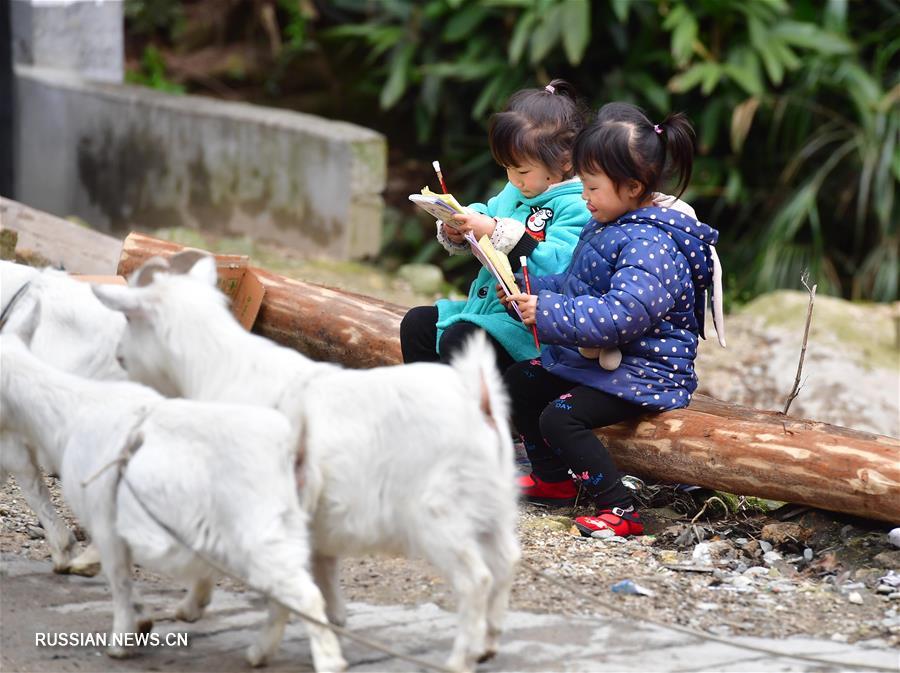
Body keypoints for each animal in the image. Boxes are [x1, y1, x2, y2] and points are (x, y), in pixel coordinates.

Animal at [0, 336, 346, 672]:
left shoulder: (105, 522)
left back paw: (329, 662)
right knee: (285, 595)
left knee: (305, 595)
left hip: (261, 532)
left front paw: (122, 641)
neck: (71, 411)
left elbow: (119, 580)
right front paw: (148, 619)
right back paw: (259, 652)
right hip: (289, 527)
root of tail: (292, 446)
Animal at [93, 253, 520, 672]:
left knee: (476, 580)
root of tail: (479, 401)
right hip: (492, 507)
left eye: (130, 319)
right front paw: (332, 622)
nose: (118, 354)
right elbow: (320, 574)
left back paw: (461, 658)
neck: (220, 365)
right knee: (504, 563)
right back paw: (488, 644)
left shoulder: (241, 499)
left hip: (439, 514)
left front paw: (207, 616)